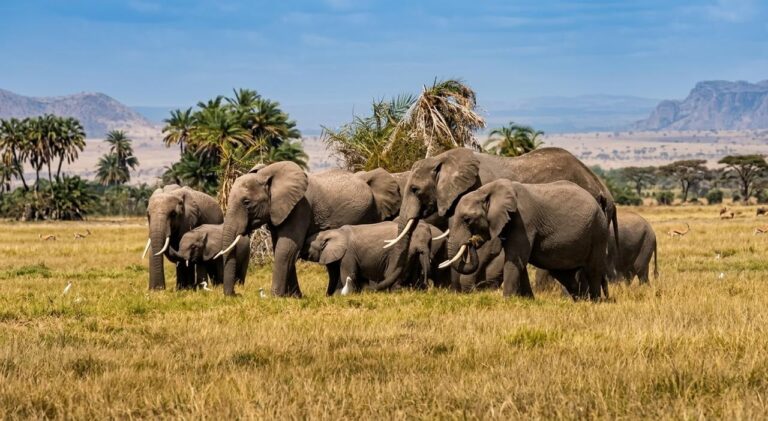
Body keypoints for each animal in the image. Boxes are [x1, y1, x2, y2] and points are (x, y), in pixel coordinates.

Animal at [218, 162, 402, 297]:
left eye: (246, 202)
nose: (235, 294)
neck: (267, 174)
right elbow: (282, 247)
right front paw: (294, 297)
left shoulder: (300, 207)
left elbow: (287, 248)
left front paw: (275, 297)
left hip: (369, 215)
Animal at [443, 179, 609, 301]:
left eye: (467, 220)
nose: (471, 241)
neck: (487, 191)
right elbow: (519, 262)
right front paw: (528, 301)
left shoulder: (524, 221)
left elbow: (515, 258)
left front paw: (506, 301)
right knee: (566, 274)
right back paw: (580, 300)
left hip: (598, 232)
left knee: (593, 270)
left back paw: (594, 302)